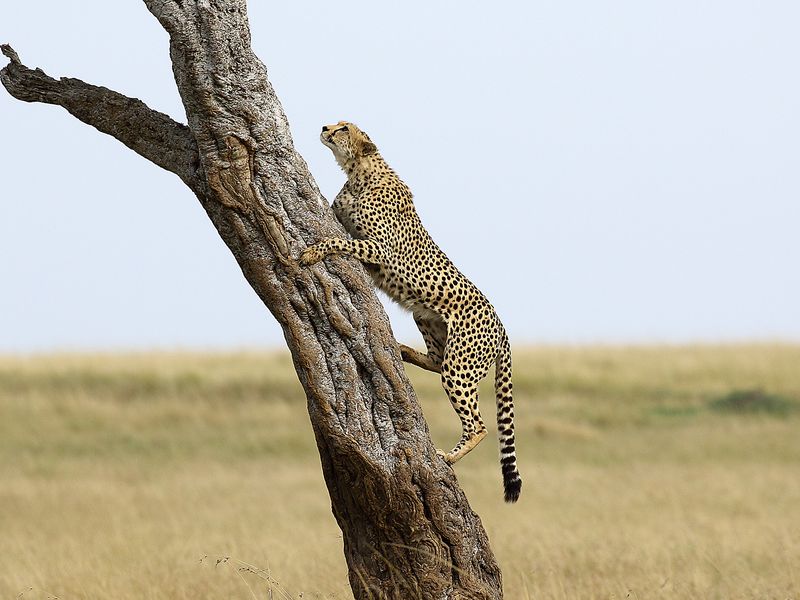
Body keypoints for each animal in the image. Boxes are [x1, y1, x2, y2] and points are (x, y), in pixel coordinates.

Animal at [300, 121, 522, 503]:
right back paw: (402, 350)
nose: (325, 127)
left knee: (478, 423)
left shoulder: (381, 250)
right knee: (434, 361)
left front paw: (315, 251)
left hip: (460, 366)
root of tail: (501, 323)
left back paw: (449, 456)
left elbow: (341, 240)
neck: (360, 171)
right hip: (426, 319)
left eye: (344, 127)